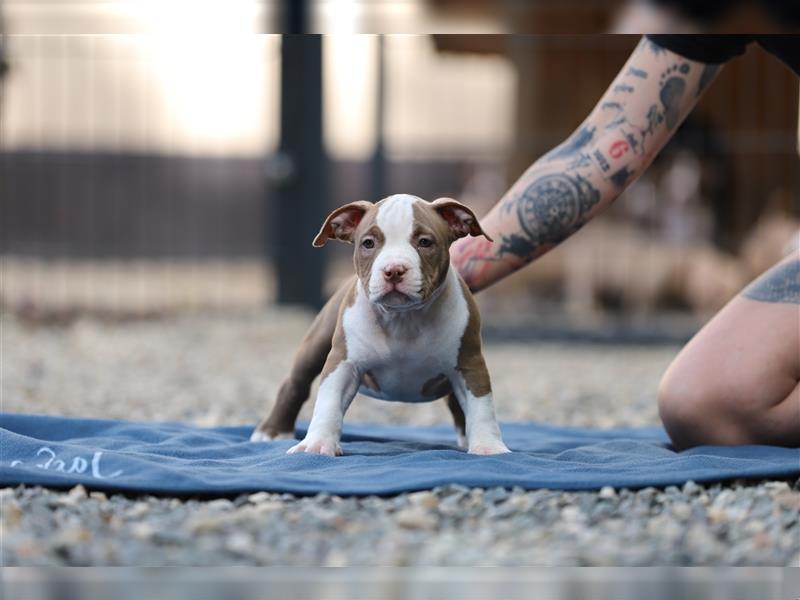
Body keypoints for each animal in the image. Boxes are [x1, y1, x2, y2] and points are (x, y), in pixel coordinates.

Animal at [253, 195, 510, 458]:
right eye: (368, 243)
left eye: (425, 242)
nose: (393, 270)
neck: (403, 318)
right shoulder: (343, 363)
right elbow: (329, 403)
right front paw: (316, 444)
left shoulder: (469, 364)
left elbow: (481, 407)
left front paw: (488, 447)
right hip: (316, 343)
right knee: (296, 384)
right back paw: (272, 431)